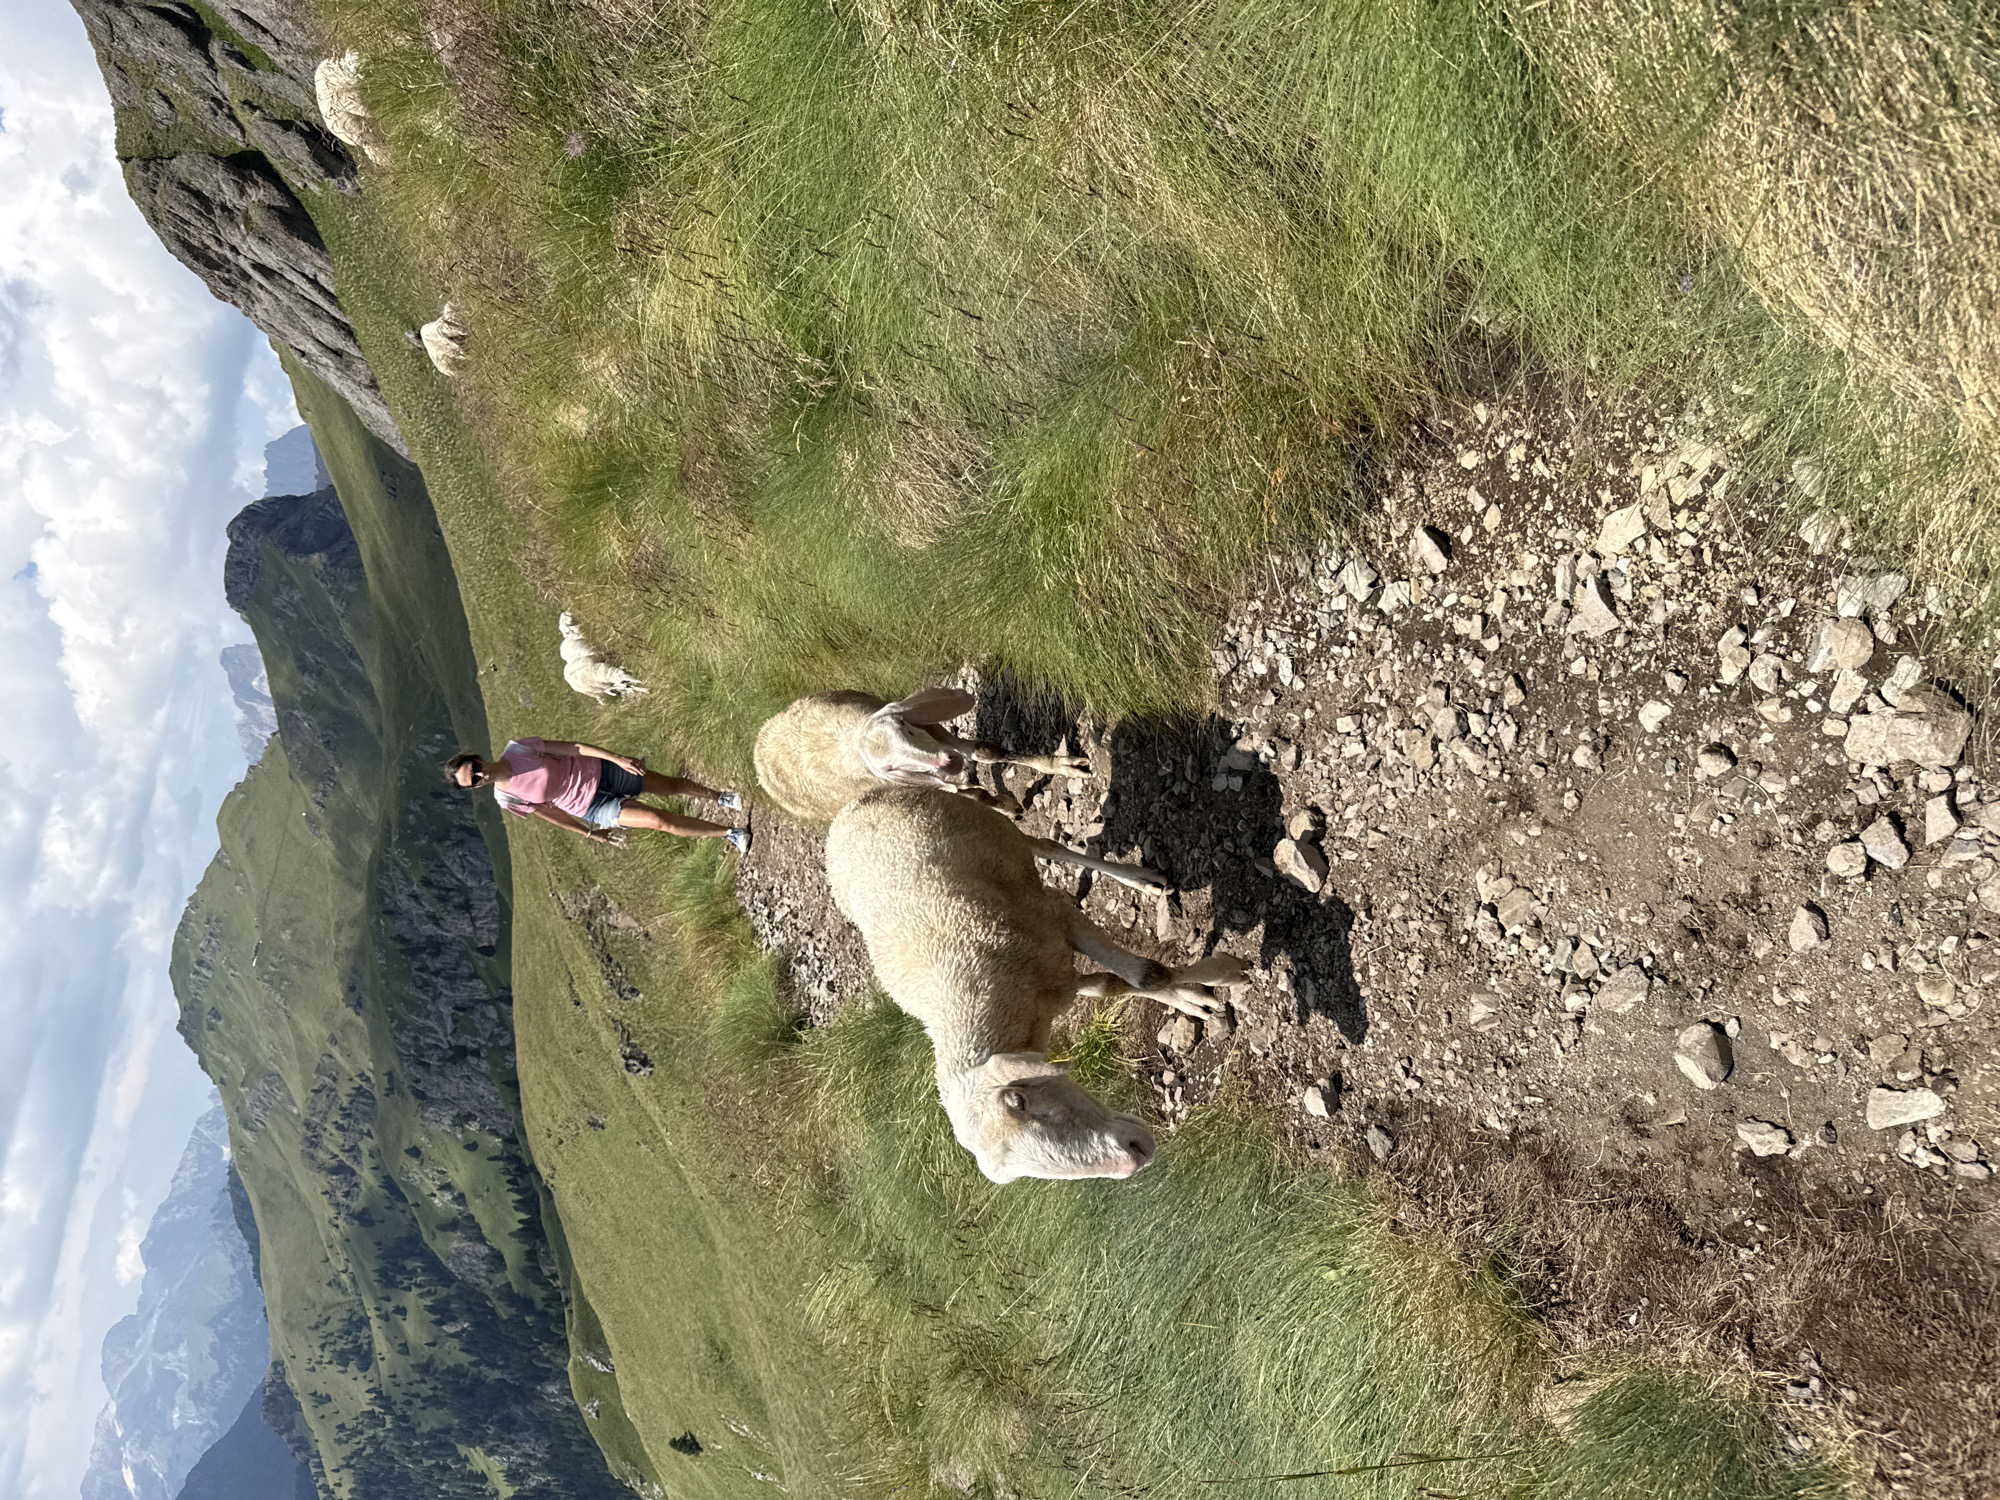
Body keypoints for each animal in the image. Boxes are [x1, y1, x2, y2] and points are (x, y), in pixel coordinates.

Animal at [753, 687, 1089, 825]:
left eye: (904, 727)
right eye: (890, 767)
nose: (946, 762)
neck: (852, 738)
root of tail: (758, 745)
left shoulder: (934, 731)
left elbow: (987, 752)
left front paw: (1063, 765)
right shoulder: (916, 779)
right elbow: (973, 793)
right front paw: (1009, 808)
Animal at [826, 787, 1248, 1183]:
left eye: (1018, 1101)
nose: (1136, 1157)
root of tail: (841, 817)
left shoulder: (1055, 914)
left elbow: (1146, 974)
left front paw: (1223, 973)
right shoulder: (1056, 977)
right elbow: (1112, 985)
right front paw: (1188, 999)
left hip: (989, 825)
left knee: (1044, 845)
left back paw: (1141, 880)